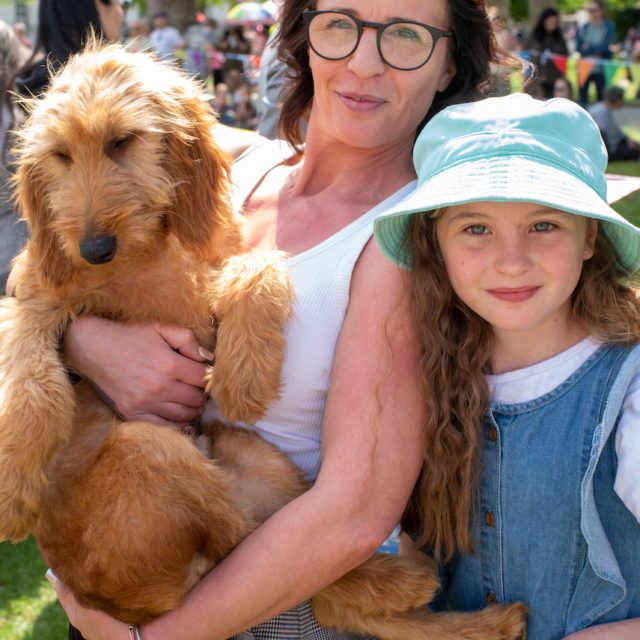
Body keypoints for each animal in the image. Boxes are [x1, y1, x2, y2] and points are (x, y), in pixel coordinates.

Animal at [0, 42, 528, 636]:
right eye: (60, 155)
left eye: (122, 140)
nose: (93, 249)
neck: (149, 251)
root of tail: (139, 604)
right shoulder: (32, 298)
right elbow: (32, 382)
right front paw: (13, 490)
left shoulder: (209, 282)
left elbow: (261, 264)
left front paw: (244, 378)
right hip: (153, 449)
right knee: (260, 555)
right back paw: (409, 583)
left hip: (246, 458)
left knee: (274, 557)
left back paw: (417, 588)